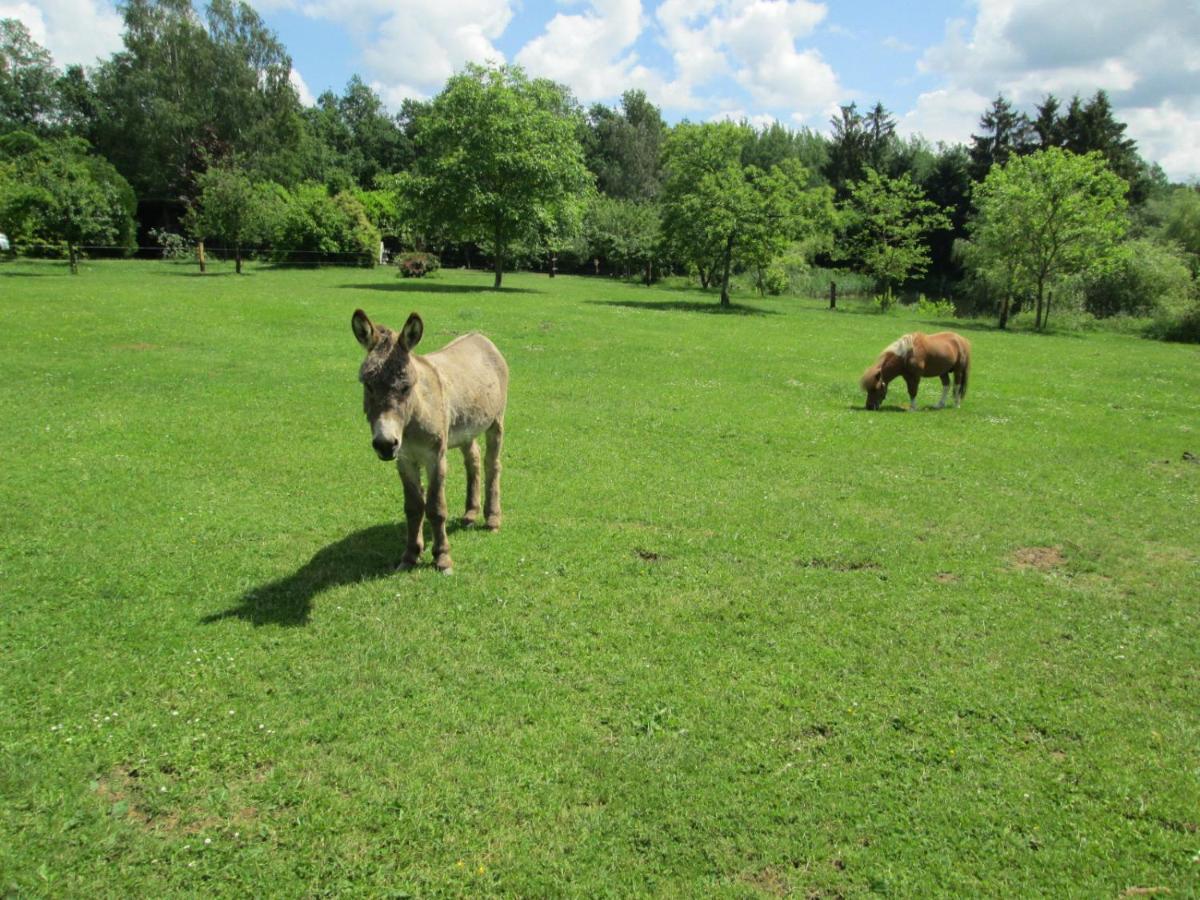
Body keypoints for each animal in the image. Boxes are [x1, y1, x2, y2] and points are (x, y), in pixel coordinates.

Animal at [352, 309, 508, 573]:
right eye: (368, 385)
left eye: (406, 387)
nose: (385, 444)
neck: (412, 421)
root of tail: (480, 337)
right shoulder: (404, 460)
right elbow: (414, 507)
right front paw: (410, 555)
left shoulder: (436, 458)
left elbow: (435, 507)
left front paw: (442, 557)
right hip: (466, 427)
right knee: (473, 460)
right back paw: (470, 513)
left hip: (495, 422)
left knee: (492, 465)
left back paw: (492, 519)